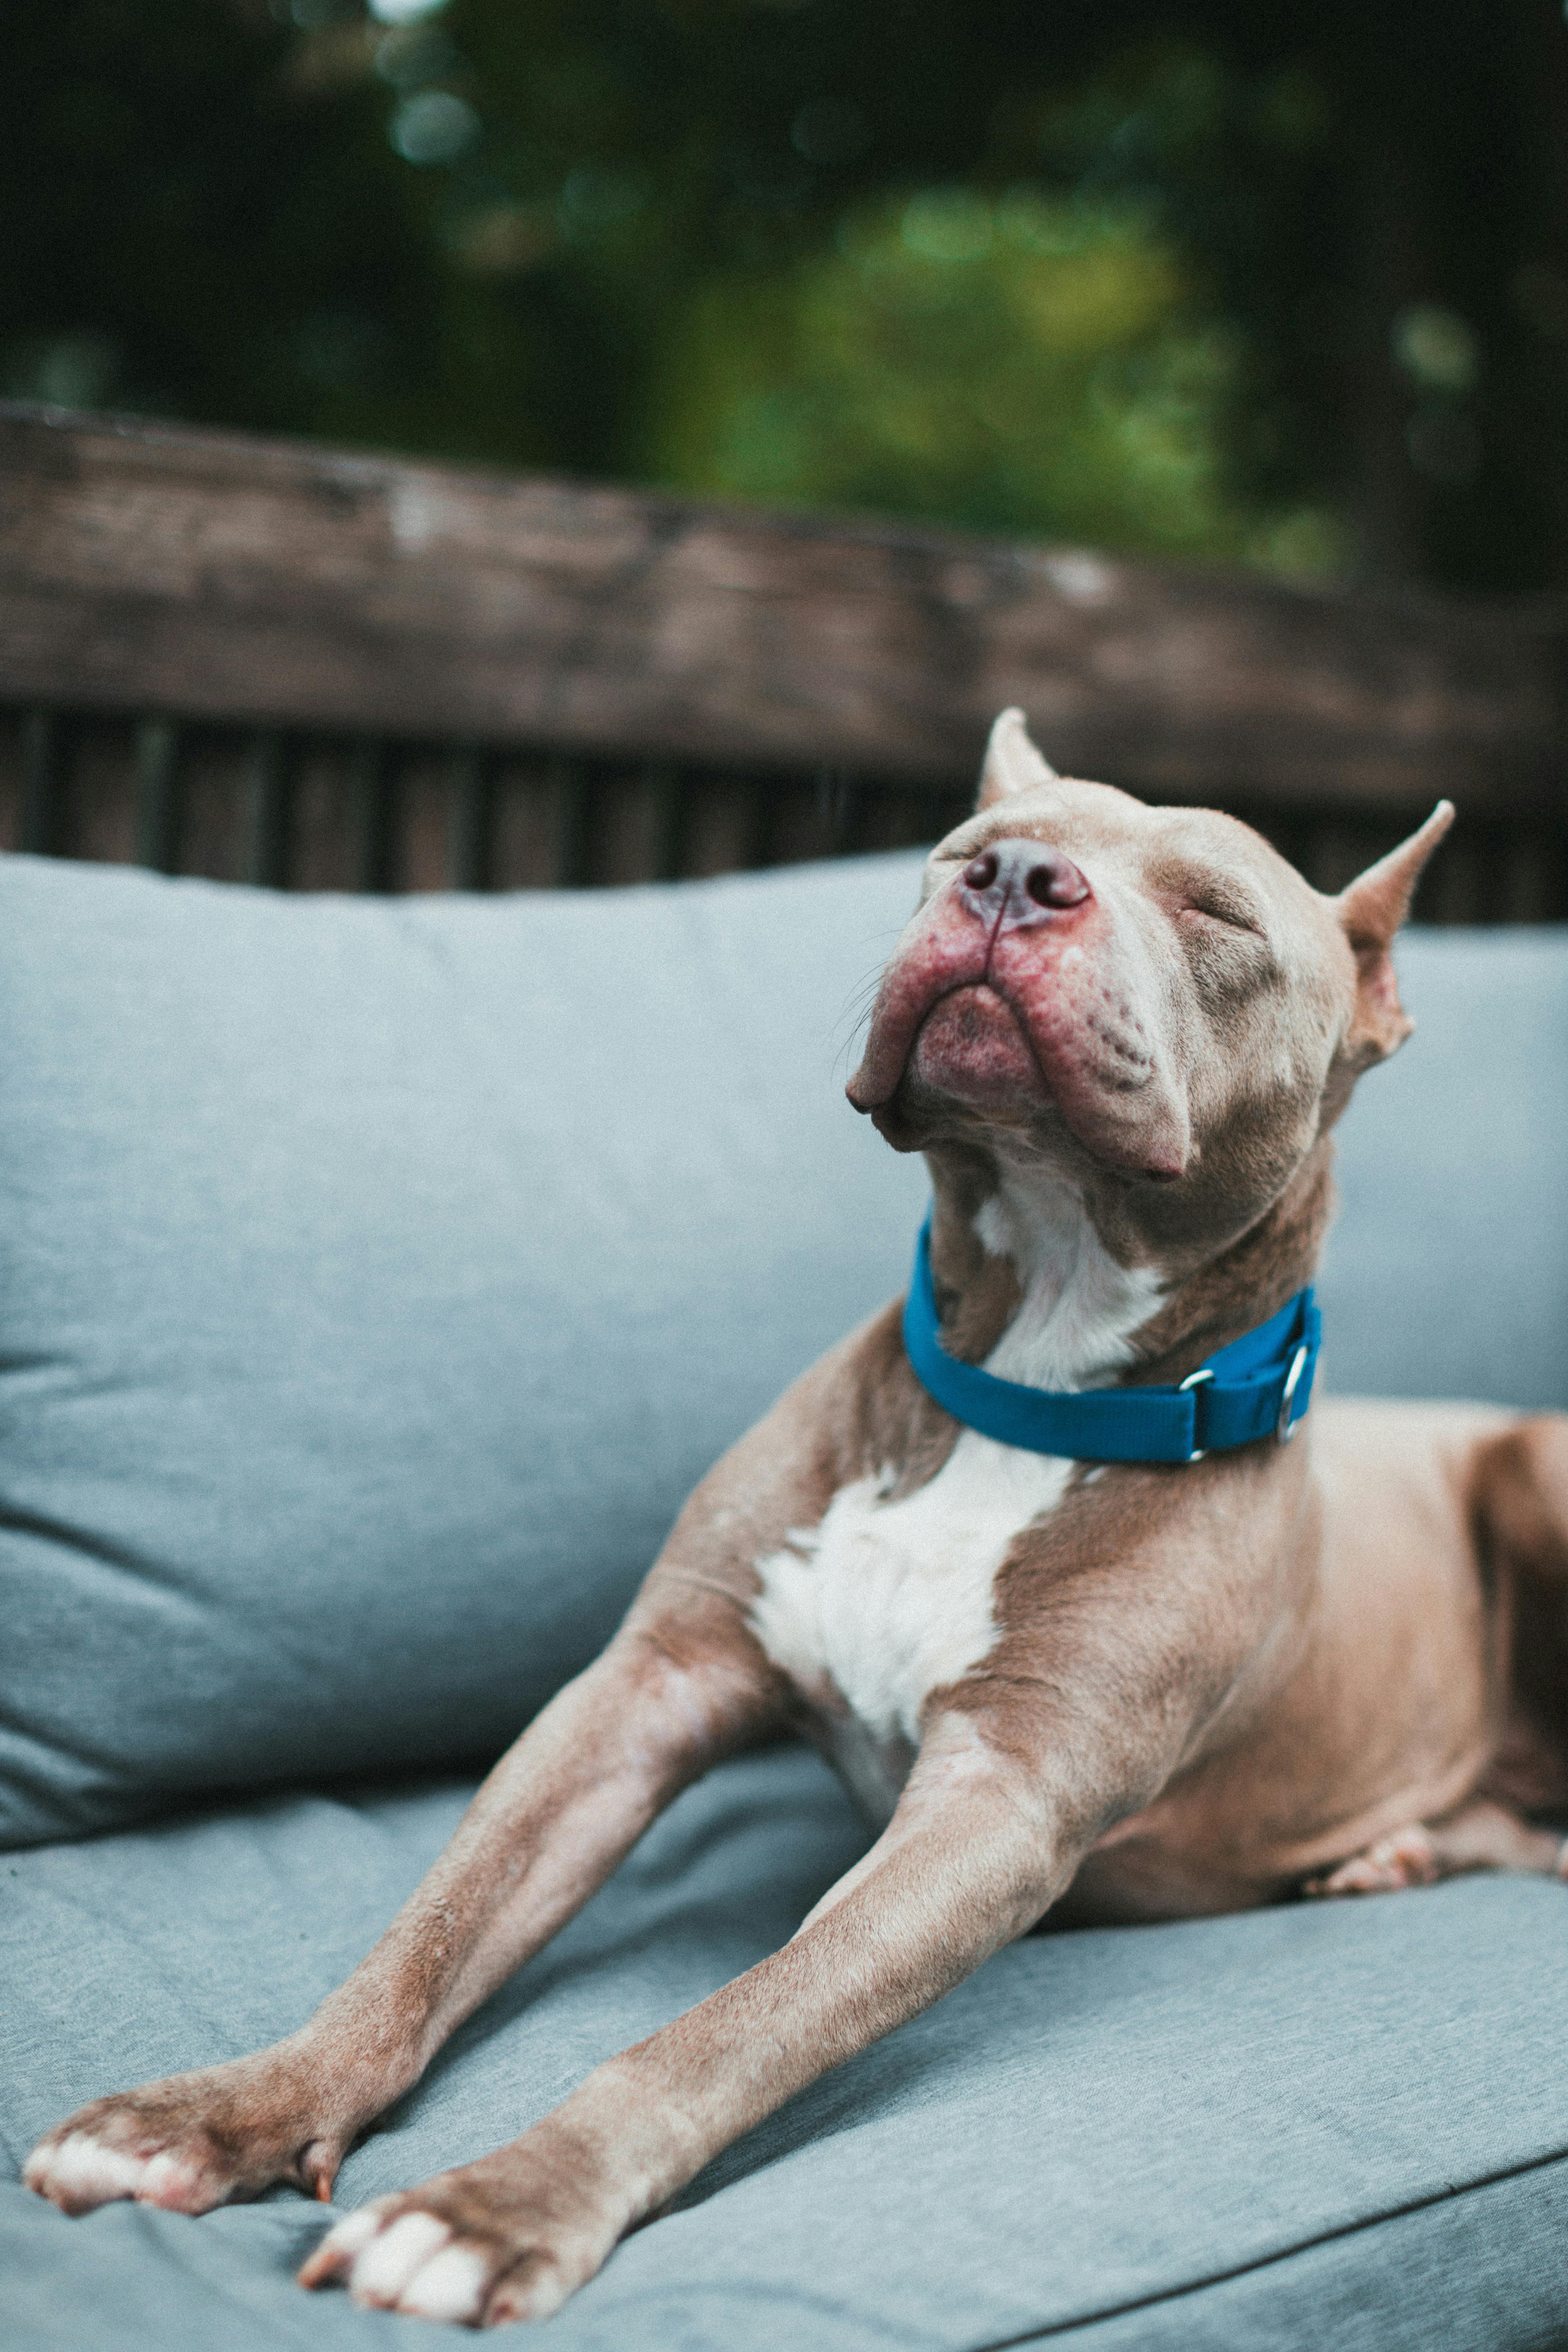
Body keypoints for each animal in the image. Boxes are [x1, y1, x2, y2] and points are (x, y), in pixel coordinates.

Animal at [21, 715, 1568, 2333]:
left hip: (1538, 1464)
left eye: (1218, 910)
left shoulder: (996, 1807)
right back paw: (1393, 1853)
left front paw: (498, 2205)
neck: (1025, 1388)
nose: (1016, 878)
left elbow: (727, 2029)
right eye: (964, 850)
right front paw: (229, 2106)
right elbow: (427, 1935)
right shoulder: (642, 1687)